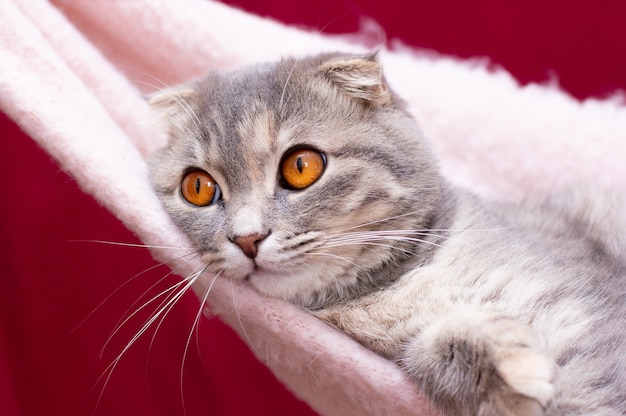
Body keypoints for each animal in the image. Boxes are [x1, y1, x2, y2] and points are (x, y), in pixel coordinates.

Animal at [147, 52, 624, 416]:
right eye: (198, 187)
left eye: (301, 166)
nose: (246, 238)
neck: (389, 293)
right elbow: (431, 349)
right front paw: (505, 367)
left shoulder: (578, 311)